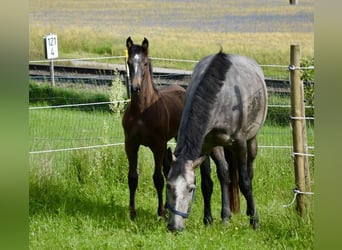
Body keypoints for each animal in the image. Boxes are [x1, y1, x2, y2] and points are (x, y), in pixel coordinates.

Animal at [166, 50, 268, 232]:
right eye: (168, 185)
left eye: (190, 189)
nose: (174, 227)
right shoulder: (205, 146)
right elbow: (207, 184)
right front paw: (208, 219)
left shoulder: (240, 143)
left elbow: (245, 183)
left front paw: (255, 221)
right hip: (218, 147)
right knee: (224, 174)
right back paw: (225, 216)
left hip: (251, 141)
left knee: (249, 172)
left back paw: (249, 212)